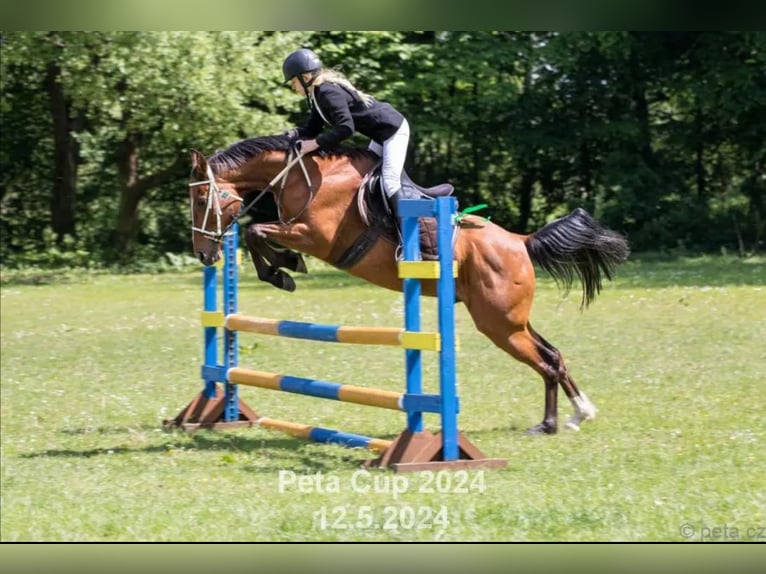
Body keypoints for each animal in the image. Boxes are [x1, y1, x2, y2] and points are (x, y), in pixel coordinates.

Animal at [188, 135, 632, 438]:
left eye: (201, 201)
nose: (205, 254)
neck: (302, 175)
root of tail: (520, 242)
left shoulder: (314, 236)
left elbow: (256, 231)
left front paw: (284, 270)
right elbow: (255, 232)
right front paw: (282, 269)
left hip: (500, 324)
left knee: (545, 361)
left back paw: (551, 424)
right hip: (510, 320)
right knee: (553, 355)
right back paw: (576, 415)